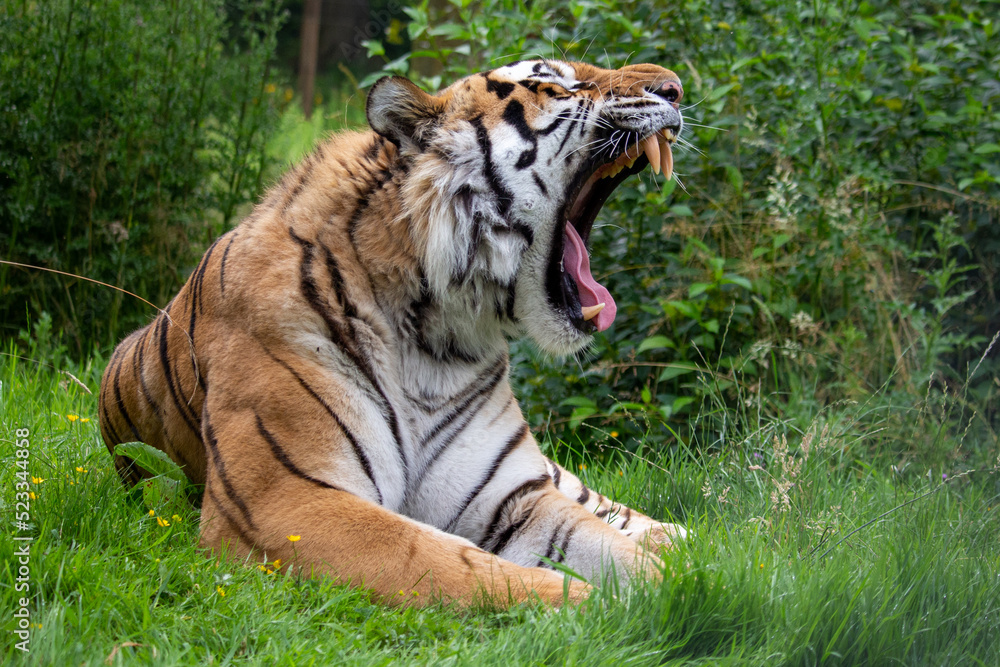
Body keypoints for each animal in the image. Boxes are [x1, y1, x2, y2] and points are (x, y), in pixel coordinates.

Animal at [99, 59, 687, 607]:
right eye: (556, 84)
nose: (677, 87)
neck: (437, 338)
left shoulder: (512, 495)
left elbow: (610, 547)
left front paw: (691, 584)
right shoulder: (285, 497)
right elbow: (448, 561)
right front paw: (597, 606)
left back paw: (685, 536)